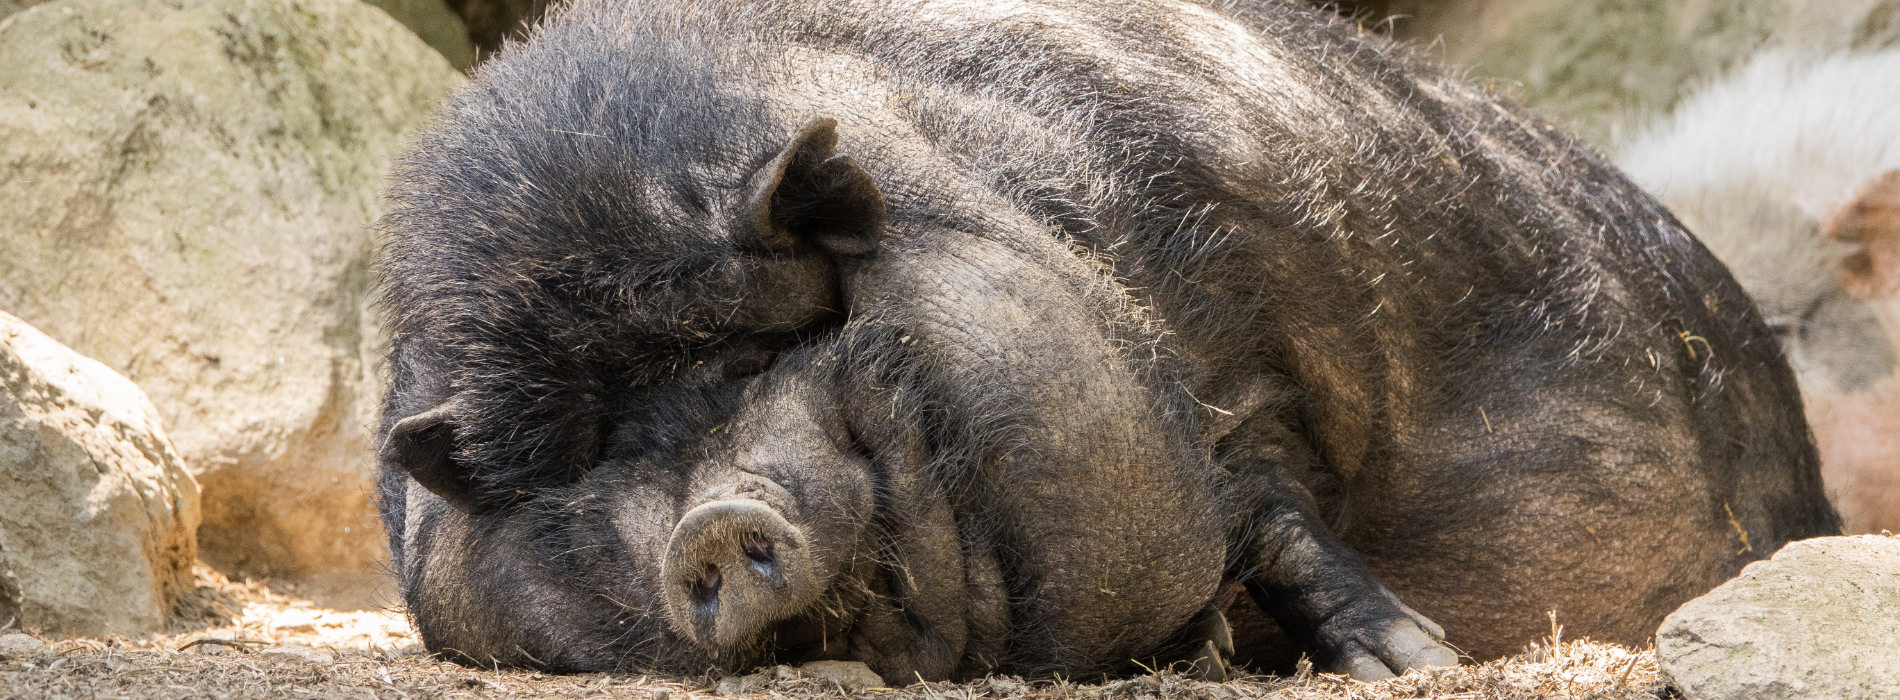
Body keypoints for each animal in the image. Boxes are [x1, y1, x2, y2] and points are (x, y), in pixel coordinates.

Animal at [376, 0, 1839, 683]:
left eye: (756, 353)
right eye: (588, 462)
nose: (710, 523)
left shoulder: (1235, 345)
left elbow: (1271, 506)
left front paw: (1413, 665)